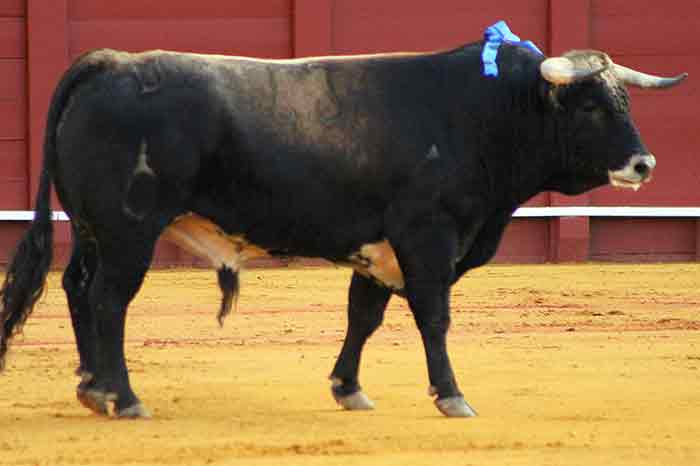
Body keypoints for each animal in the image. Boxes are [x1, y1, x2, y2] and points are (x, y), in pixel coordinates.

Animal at [0, 41, 684, 416]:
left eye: (625, 102)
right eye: (591, 106)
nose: (644, 164)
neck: (484, 112)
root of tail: (110, 62)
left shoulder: (379, 248)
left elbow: (364, 316)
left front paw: (347, 387)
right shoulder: (427, 237)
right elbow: (434, 318)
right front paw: (451, 396)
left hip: (94, 229)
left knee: (77, 290)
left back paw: (92, 387)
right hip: (130, 230)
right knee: (108, 301)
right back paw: (124, 397)